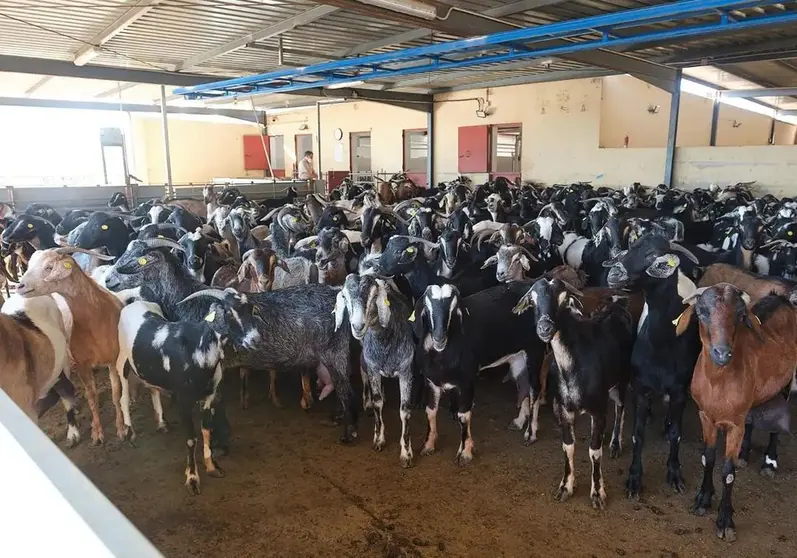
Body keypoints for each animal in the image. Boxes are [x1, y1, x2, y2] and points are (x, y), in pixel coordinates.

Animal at [332, 274, 414, 468]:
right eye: (344, 296)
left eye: (375, 295)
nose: (358, 326)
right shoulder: (374, 368)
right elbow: (378, 403)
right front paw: (379, 439)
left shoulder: (406, 370)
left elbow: (405, 410)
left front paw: (406, 453)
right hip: (364, 357)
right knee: (363, 375)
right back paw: (367, 402)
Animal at [676, 284, 796, 544]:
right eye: (701, 313)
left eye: (741, 316)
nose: (722, 353)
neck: (717, 383)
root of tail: (780, 298)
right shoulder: (705, 416)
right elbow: (708, 459)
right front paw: (703, 500)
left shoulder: (734, 425)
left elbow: (728, 473)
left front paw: (725, 522)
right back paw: (744, 452)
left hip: (786, 383)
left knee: (776, 424)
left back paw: (769, 462)